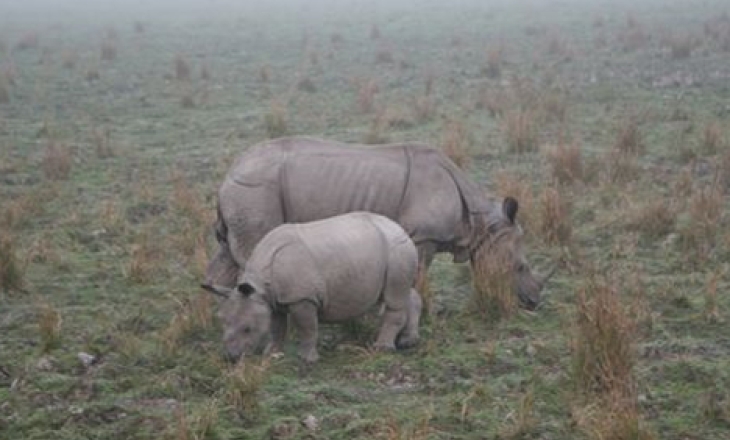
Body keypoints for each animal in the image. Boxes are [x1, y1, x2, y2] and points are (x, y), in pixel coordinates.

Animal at [202, 212, 422, 363]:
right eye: (222, 322)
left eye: (247, 329)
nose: (230, 357)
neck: (260, 284)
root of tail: (401, 228)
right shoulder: (274, 298)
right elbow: (276, 326)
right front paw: (272, 353)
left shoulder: (302, 297)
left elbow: (307, 327)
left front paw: (307, 359)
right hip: (393, 251)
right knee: (402, 294)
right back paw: (407, 342)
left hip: (397, 251)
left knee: (394, 298)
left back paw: (382, 349)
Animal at [205, 137, 552, 309]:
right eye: (519, 267)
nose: (533, 303)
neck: (480, 224)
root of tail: (229, 173)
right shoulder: (422, 237)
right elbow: (417, 275)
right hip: (256, 188)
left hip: (247, 190)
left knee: (228, 256)